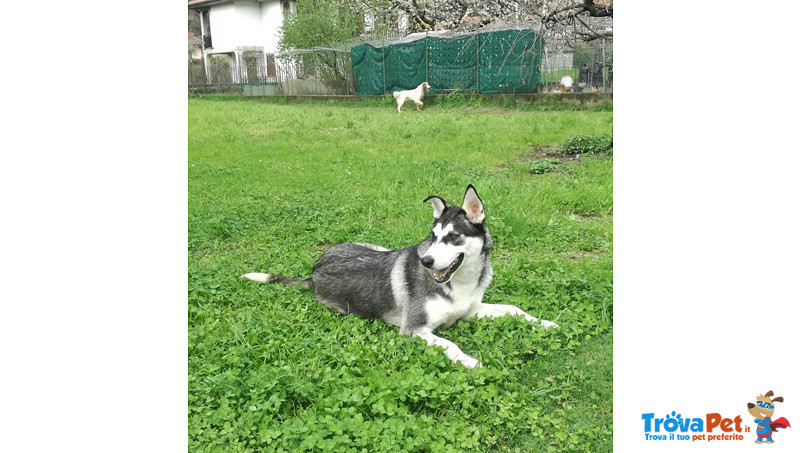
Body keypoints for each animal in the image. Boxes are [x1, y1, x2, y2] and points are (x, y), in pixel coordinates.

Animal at [241, 184, 560, 368]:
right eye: (433, 236)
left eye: (454, 236)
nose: (426, 260)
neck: (460, 283)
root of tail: (313, 273)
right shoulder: (414, 329)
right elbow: (450, 344)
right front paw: (469, 360)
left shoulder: (470, 310)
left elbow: (513, 308)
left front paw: (545, 322)